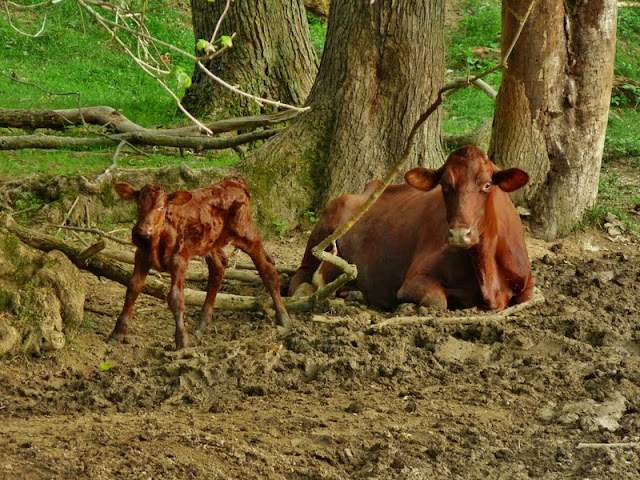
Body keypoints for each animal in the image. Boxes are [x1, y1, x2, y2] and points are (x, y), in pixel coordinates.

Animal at [109, 176, 290, 348]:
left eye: (161, 207)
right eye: (139, 205)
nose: (144, 230)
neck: (157, 240)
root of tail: (233, 181)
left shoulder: (179, 259)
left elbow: (176, 298)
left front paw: (182, 340)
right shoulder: (141, 255)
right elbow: (132, 288)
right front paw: (117, 333)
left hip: (246, 233)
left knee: (268, 268)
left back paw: (283, 318)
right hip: (211, 242)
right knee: (219, 267)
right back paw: (202, 323)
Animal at [290, 146, 536, 312]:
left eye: (487, 185)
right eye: (445, 185)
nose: (459, 234)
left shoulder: (528, 286)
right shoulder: (414, 279)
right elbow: (437, 301)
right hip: (324, 223)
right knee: (301, 275)